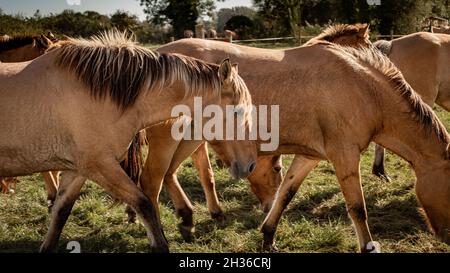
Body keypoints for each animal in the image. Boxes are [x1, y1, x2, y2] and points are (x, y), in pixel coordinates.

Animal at [0, 30, 255, 252]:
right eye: (239, 112)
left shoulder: (78, 171)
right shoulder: (101, 166)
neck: (101, 93)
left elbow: (60, 215)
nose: (251, 164)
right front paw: (159, 242)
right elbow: (145, 205)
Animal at [154, 36, 450, 251]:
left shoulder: (311, 156)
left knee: (170, 174)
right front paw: (368, 246)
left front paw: (268, 236)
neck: (362, 89)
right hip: (178, 139)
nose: (447, 237)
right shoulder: (345, 156)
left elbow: (285, 193)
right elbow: (357, 208)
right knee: (160, 176)